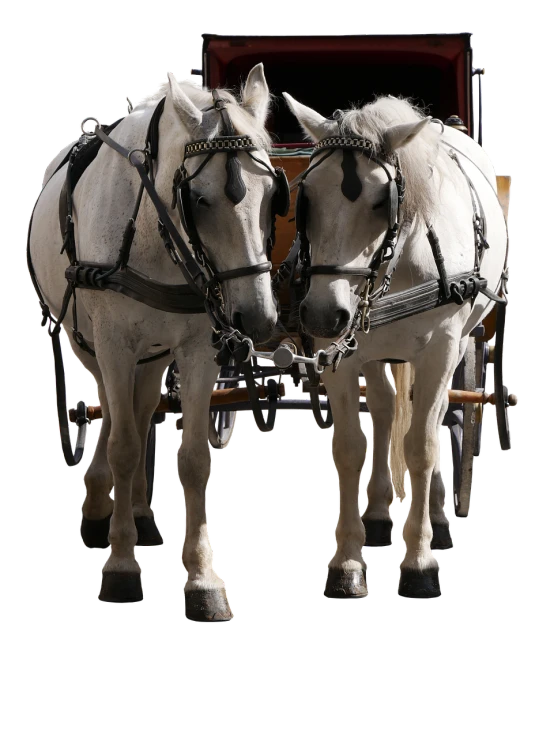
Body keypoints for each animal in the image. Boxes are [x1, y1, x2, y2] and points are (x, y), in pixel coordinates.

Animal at [28, 63, 282, 620]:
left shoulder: (199, 349)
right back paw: (102, 507)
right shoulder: (114, 341)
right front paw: (121, 566)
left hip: (153, 354)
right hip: (89, 342)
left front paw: (202, 579)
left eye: (273, 196)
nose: (257, 317)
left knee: (142, 410)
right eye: (200, 199)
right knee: (112, 414)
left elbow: (192, 458)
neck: (152, 229)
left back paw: (140, 513)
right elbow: (123, 445)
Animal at [282, 92, 506, 600]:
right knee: (385, 407)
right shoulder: (338, 356)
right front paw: (346, 564)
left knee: (438, 414)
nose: (323, 313)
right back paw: (382, 512)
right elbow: (349, 446)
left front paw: (419, 563)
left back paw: (438, 518)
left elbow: (421, 445)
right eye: (306, 198)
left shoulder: (440, 348)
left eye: (380, 202)